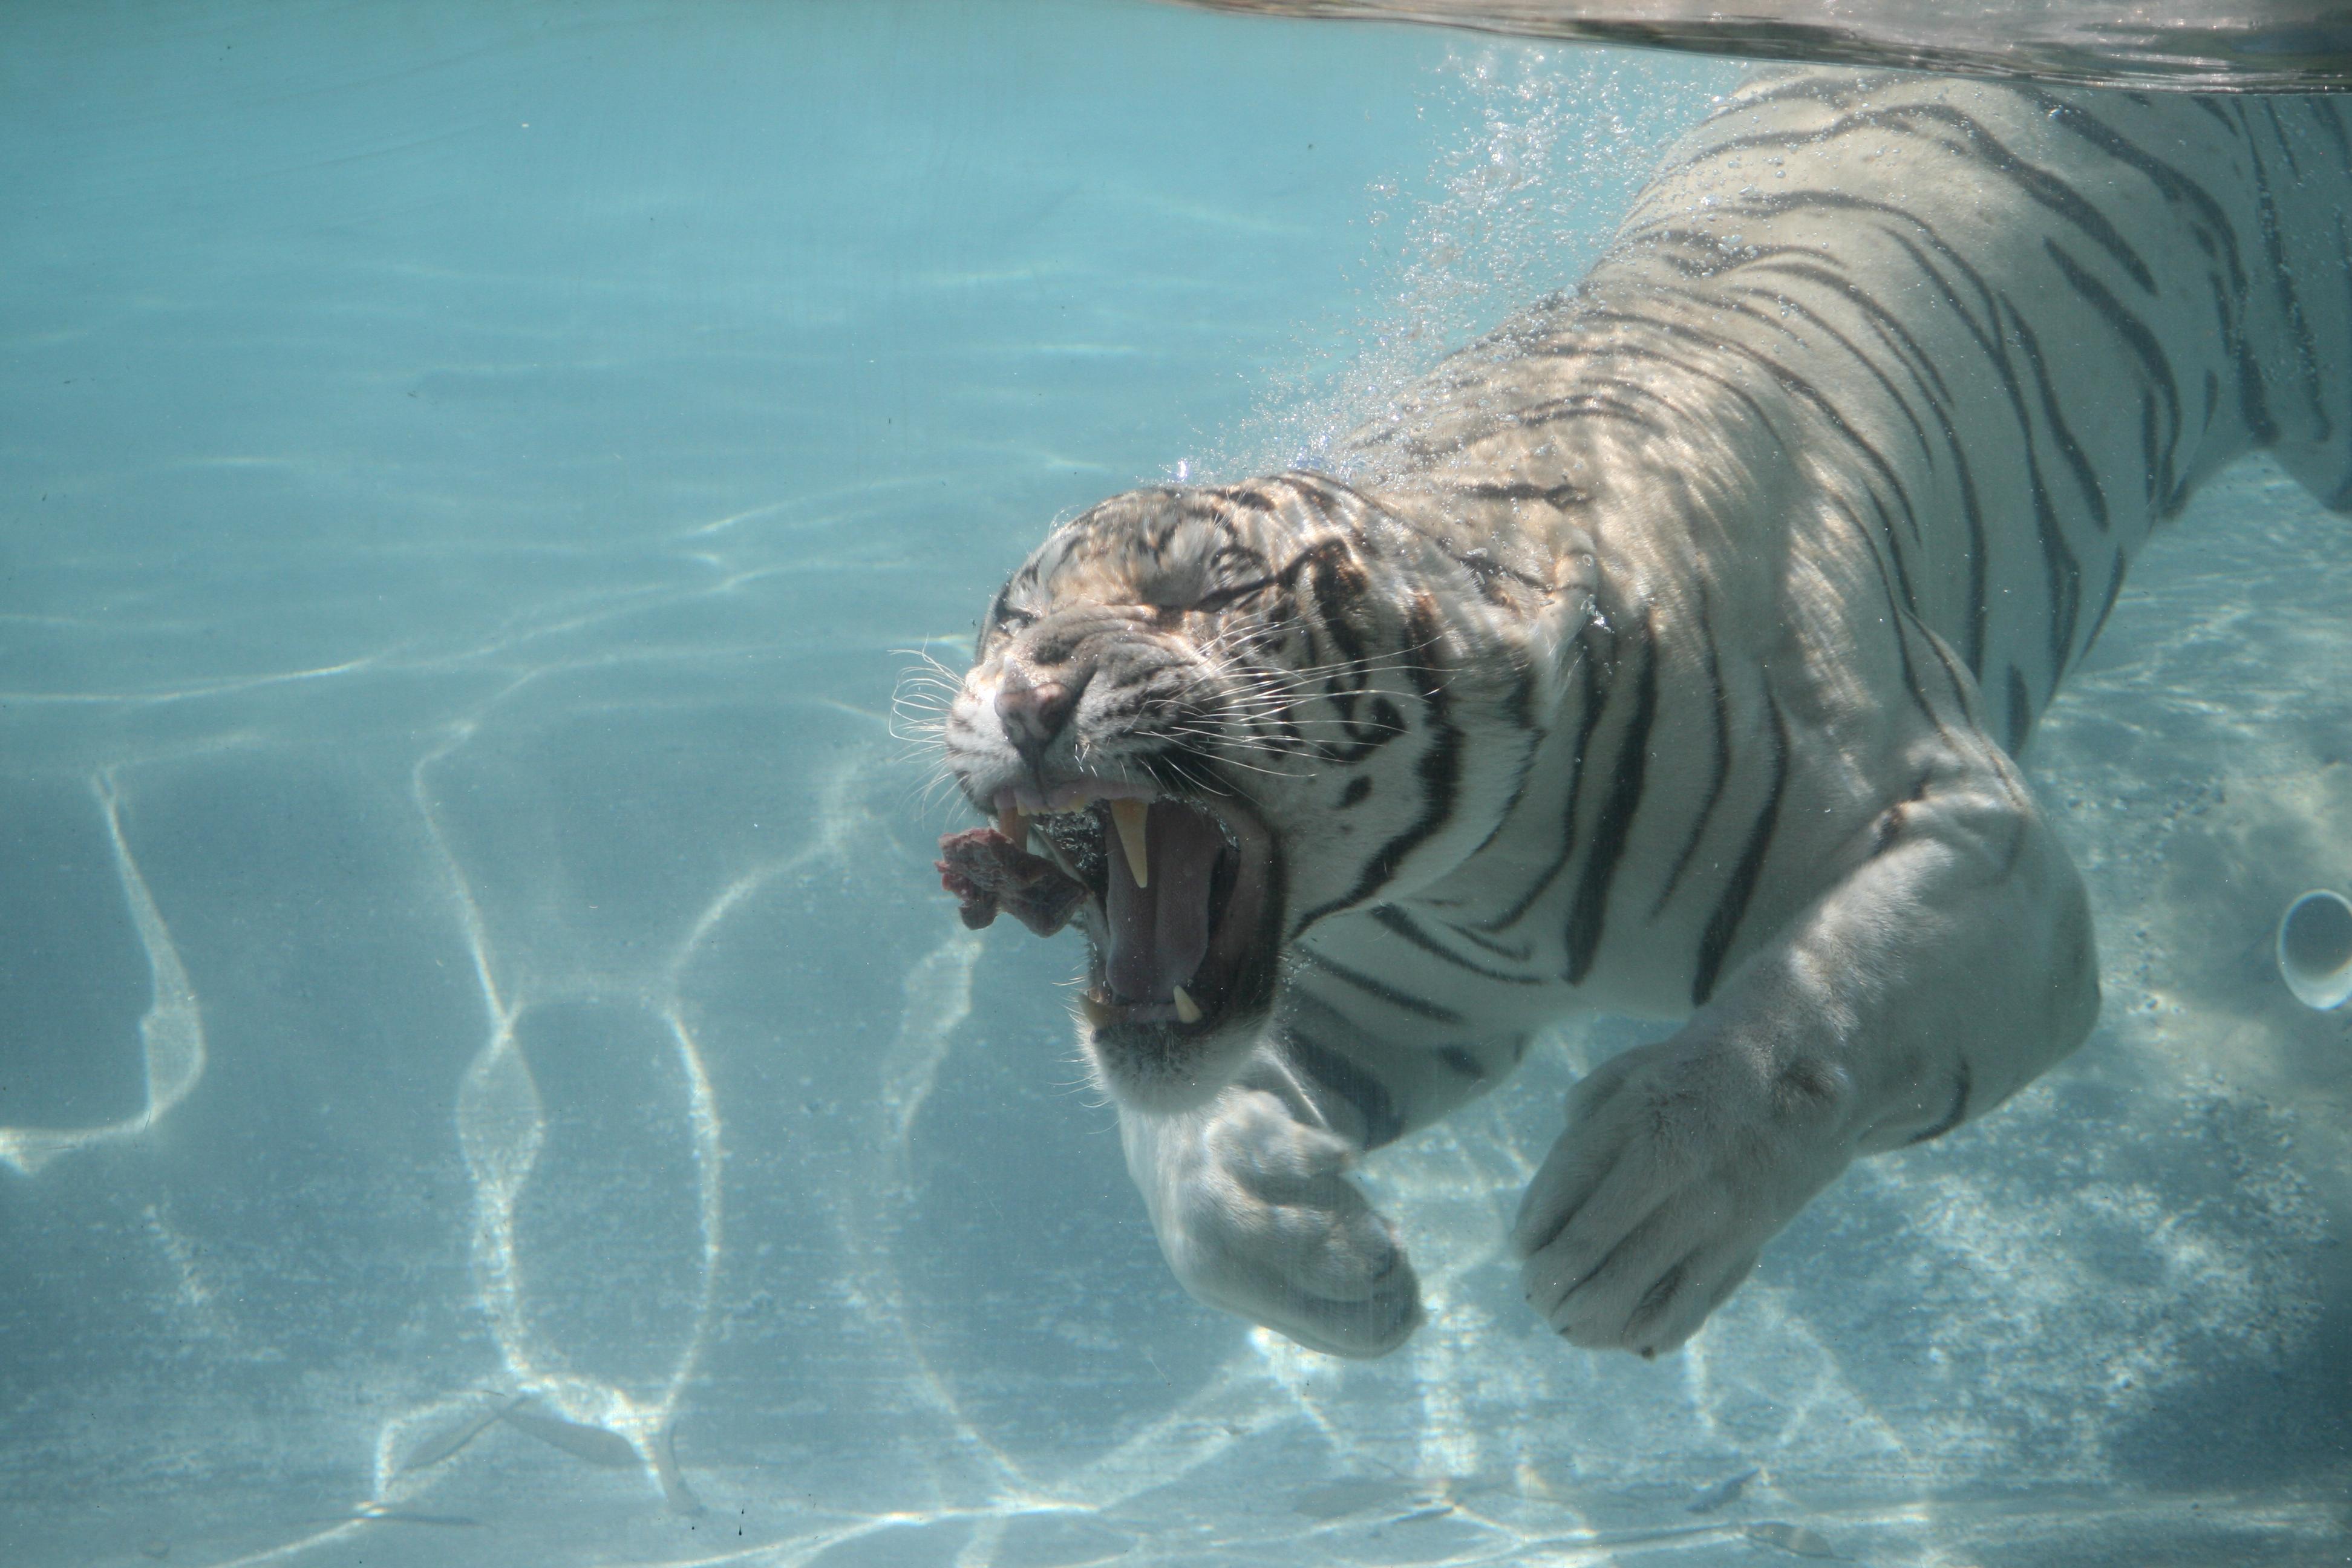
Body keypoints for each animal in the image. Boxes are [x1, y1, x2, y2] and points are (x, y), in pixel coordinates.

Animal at [932, 68, 2352, 1360]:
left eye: (1211, 586)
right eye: (1012, 614)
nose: (1031, 695)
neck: (1484, 871)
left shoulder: (1993, 855)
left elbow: (1820, 1011)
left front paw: (1640, 1211)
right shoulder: (1392, 1006)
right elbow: (1180, 1146)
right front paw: (1317, 1256)